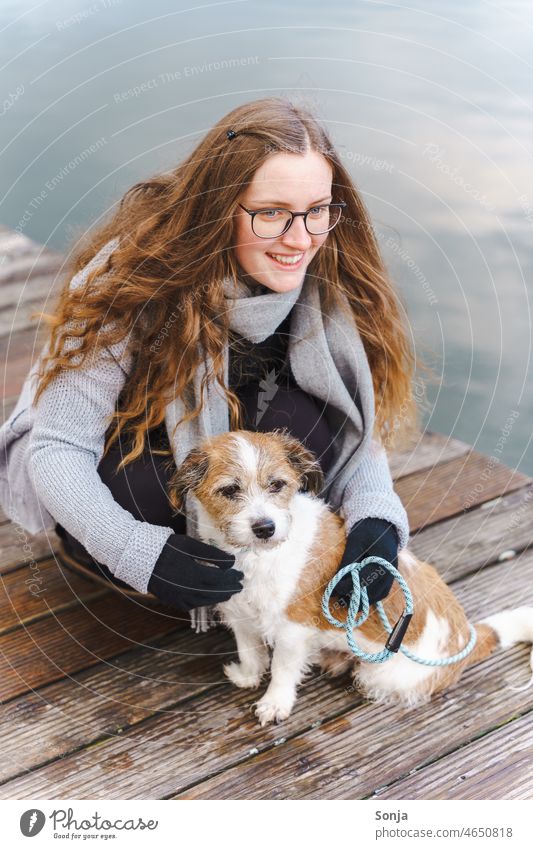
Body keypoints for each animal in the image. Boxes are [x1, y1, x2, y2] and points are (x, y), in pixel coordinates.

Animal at [168, 428, 532, 724]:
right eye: (230, 490)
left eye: (277, 485)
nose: (265, 528)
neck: (257, 556)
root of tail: (468, 635)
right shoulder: (240, 613)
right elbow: (249, 649)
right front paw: (247, 675)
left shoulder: (292, 630)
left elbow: (282, 670)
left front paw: (275, 703)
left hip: (386, 675)